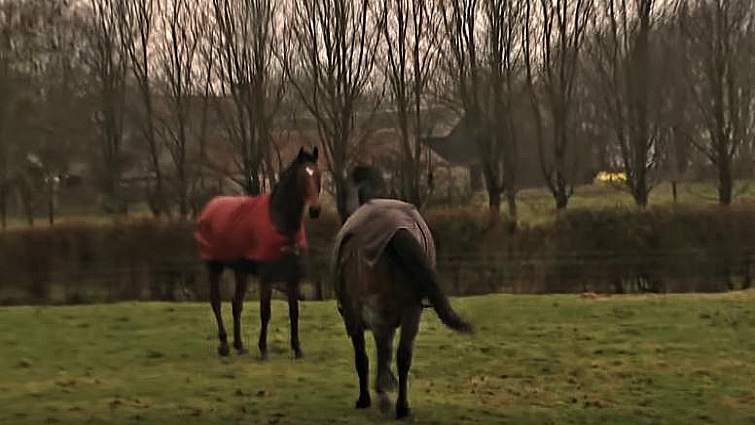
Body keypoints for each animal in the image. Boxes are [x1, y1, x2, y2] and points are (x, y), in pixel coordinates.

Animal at [194, 146, 322, 360]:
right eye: (301, 177)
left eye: (318, 175)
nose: (315, 210)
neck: (280, 223)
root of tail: (208, 208)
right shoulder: (266, 277)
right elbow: (265, 312)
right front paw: (263, 349)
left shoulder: (293, 276)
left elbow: (294, 312)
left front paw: (297, 348)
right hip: (214, 266)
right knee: (216, 302)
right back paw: (224, 345)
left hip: (240, 270)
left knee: (236, 304)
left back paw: (239, 345)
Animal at [331, 164, 474, 419]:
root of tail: (399, 231)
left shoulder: (354, 316)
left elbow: (362, 358)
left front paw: (364, 399)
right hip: (412, 311)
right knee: (403, 355)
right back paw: (402, 406)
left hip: (375, 309)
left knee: (383, 351)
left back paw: (384, 396)